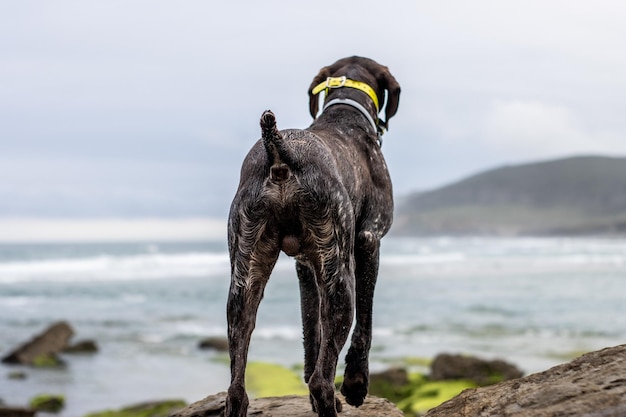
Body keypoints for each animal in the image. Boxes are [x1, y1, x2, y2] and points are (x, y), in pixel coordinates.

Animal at [224, 56, 400, 416]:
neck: (346, 113)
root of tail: (279, 150)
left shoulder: (305, 266)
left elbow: (311, 334)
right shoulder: (368, 240)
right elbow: (365, 323)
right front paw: (355, 384)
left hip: (245, 278)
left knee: (236, 390)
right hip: (339, 280)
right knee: (322, 381)